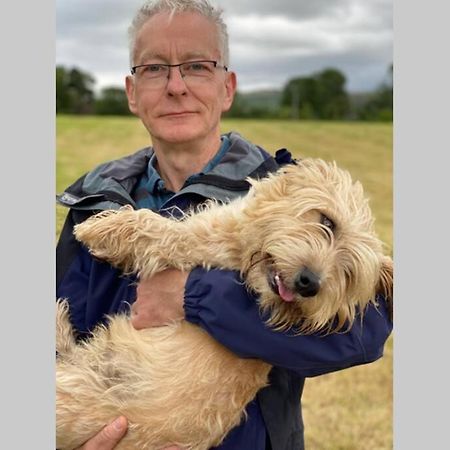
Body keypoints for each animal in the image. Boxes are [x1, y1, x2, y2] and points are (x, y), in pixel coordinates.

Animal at [56, 158, 394, 450]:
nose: (309, 283)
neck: (247, 257)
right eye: (327, 221)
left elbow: (153, 227)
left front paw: (98, 228)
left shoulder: (191, 242)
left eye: (349, 274)